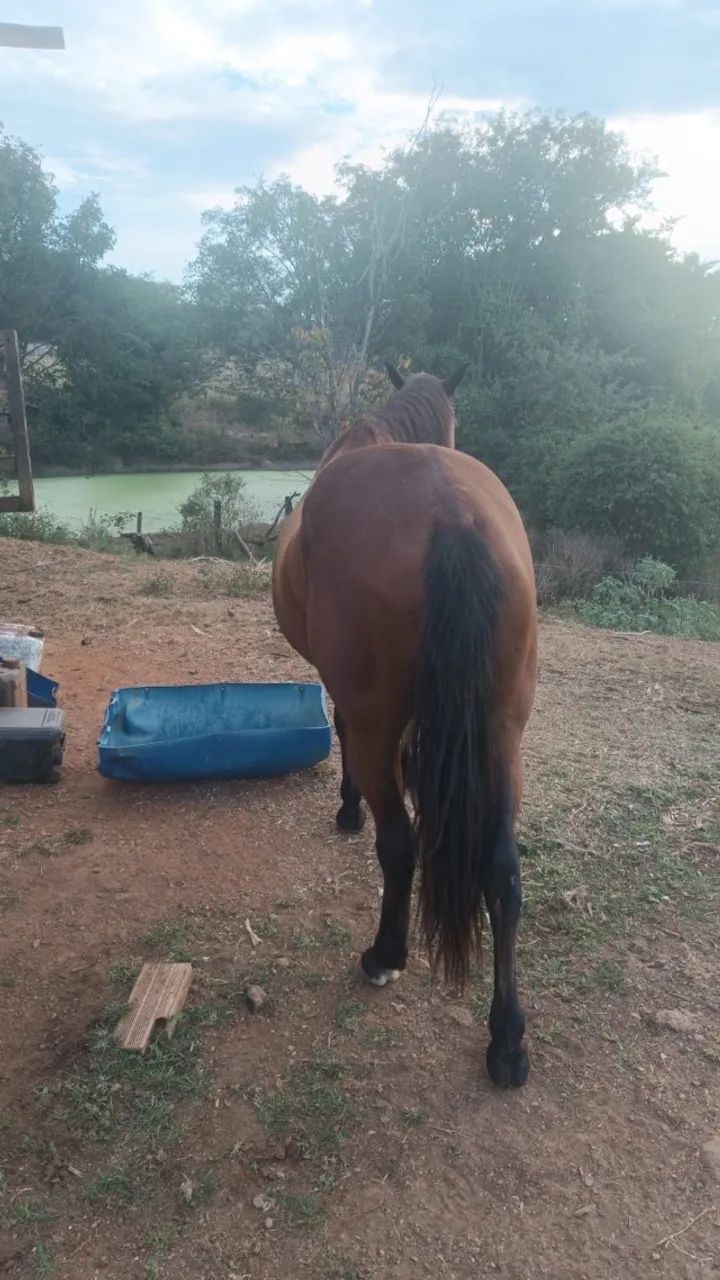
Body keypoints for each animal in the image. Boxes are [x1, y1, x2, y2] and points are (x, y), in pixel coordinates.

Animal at [272, 364, 537, 1087]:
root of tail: (451, 511)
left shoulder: (352, 703)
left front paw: (347, 809)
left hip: (378, 722)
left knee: (399, 843)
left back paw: (385, 954)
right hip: (505, 734)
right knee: (502, 872)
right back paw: (507, 1040)